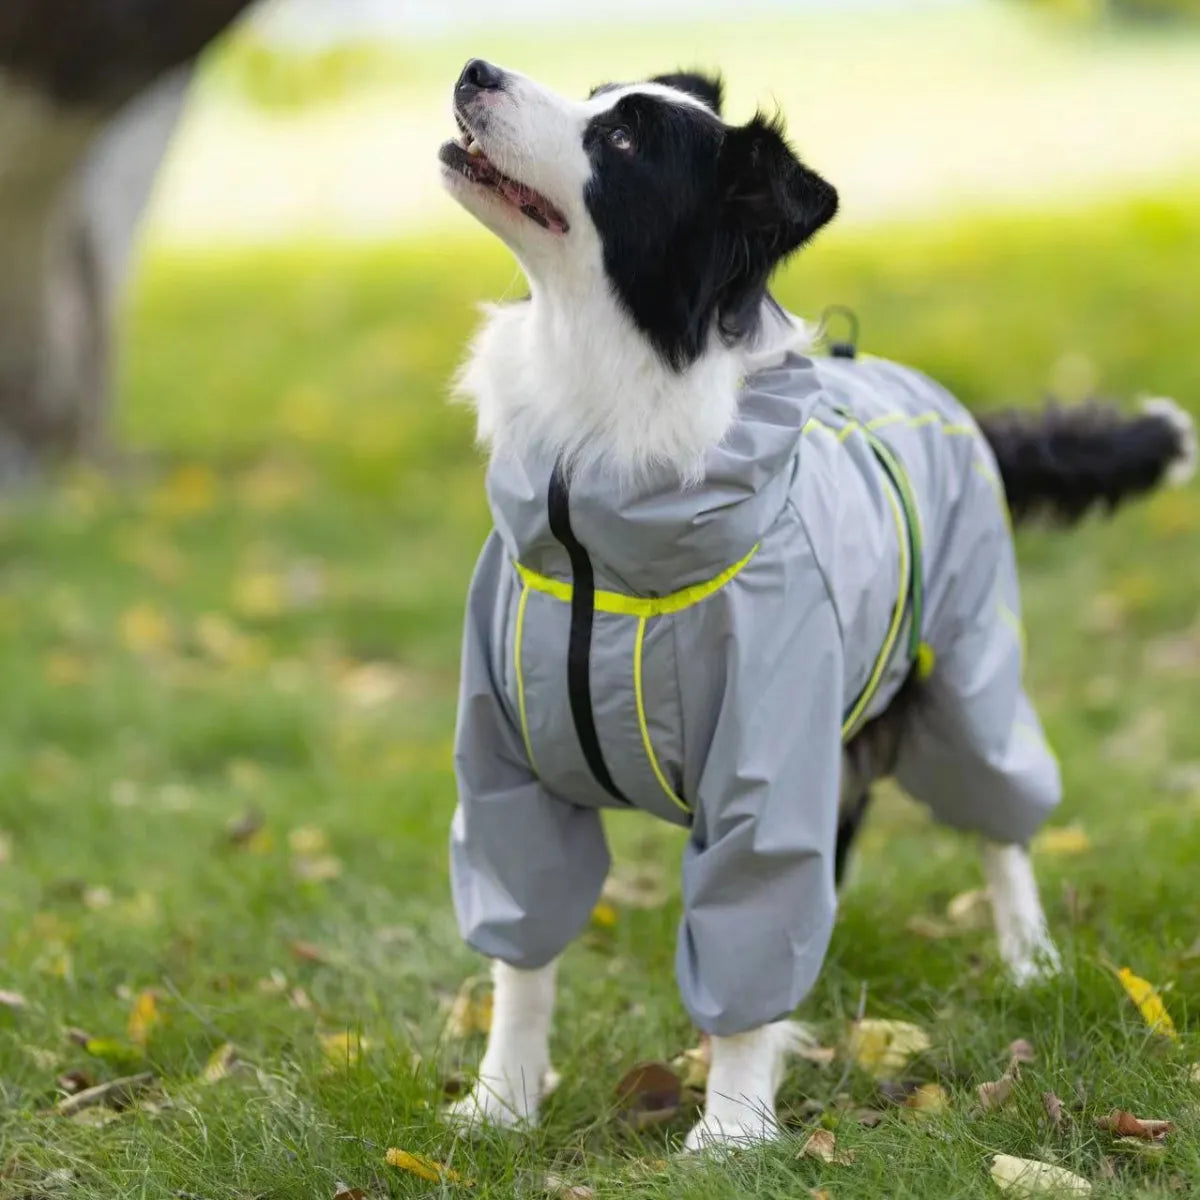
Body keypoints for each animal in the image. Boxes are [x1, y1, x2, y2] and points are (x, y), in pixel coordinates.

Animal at [436, 60, 1195, 1147]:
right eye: (593, 92)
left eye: (621, 140)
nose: (476, 70)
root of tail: (951, 401)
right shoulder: (508, 768)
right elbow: (523, 957)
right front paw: (500, 1103)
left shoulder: (768, 762)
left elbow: (755, 909)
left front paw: (733, 1128)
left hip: (966, 683)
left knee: (1001, 825)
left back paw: (1030, 961)